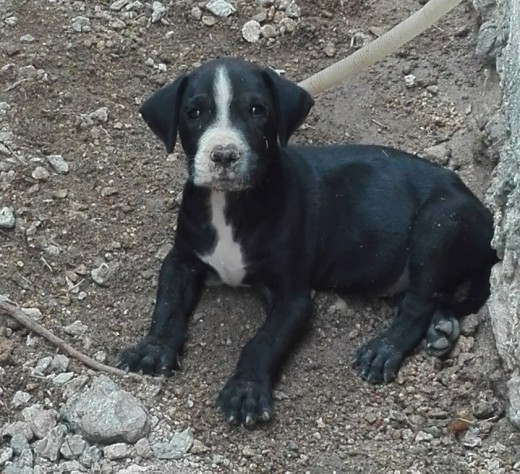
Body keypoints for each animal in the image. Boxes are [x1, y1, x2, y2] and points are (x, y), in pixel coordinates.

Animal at [120, 58, 498, 426]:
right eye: (194, 112)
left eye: (257, 110)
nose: (224, 155)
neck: (228, 204)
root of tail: (481, 210)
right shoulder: (180, 260)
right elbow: (167, 305)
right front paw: (152, 349)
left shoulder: (293, 297)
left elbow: (263, 341)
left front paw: (245, 391)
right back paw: (442, 327)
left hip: (440, 224)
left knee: (417, 304)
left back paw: (384, 350)